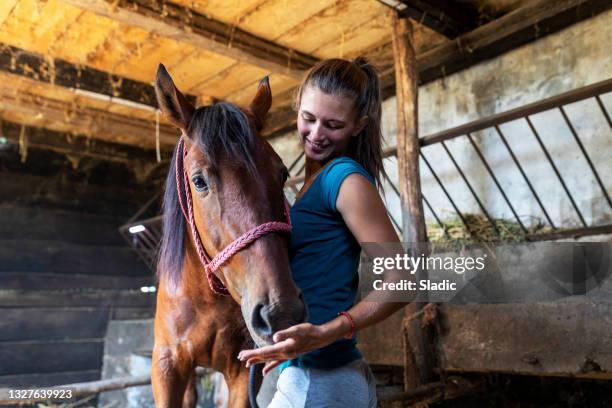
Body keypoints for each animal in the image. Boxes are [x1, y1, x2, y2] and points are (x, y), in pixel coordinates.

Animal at [151, 65, 308, 406]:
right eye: (199, 180)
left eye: (282, 173)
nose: (282, 312)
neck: (205, 299)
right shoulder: (166, 366)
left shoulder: (242, 372)